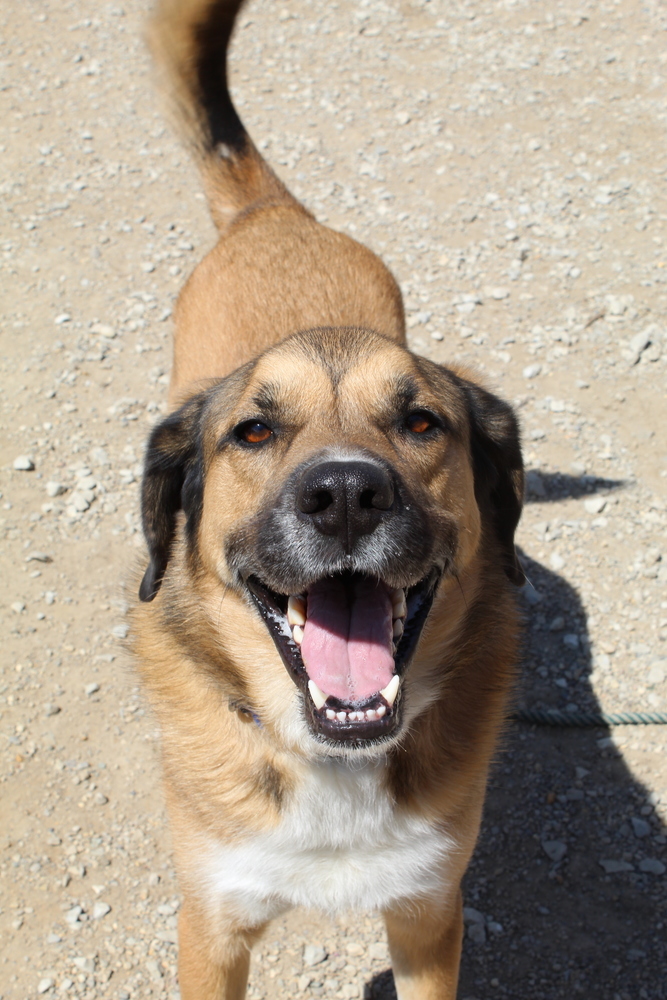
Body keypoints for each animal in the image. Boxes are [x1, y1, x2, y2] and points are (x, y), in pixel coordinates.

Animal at [132, 1, 528, 1000]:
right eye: (252, 432)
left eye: (422, 422)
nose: (345, 493)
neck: (329, 758)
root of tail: (275, 215)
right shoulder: (212, 925)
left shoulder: (429, 917)